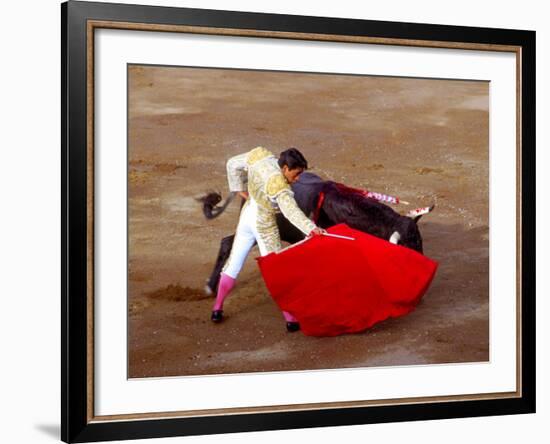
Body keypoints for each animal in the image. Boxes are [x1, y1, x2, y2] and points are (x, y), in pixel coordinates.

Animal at [202, 173, 426, 294]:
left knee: (227, 242)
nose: (423, 280)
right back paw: (211, 286)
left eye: (419, 242)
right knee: (228, 244)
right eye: (406, 248)